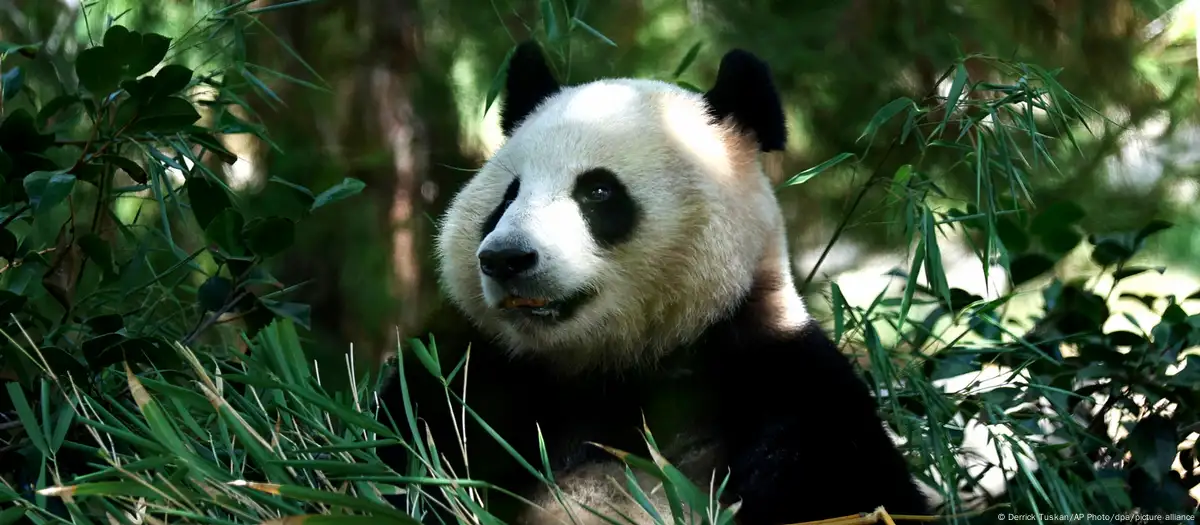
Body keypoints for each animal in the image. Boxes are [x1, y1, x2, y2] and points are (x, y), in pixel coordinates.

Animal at [379, 41, 931, 525]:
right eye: (508, 196)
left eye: (598, 191)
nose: (506, 258)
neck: (617, 365)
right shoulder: (470, 376)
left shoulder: (783, 385)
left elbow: (857, 495)